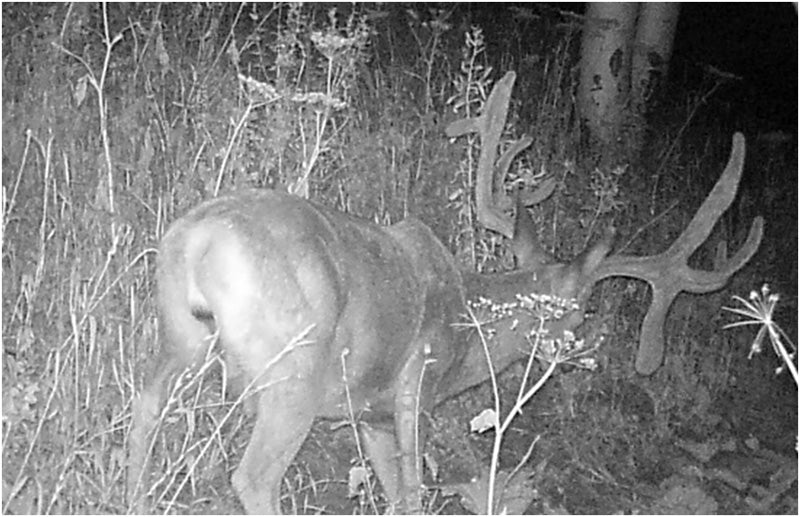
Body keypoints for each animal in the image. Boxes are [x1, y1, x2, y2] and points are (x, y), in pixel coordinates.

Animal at [127, 71, 763, 514]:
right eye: (581, 314)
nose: (589, 352)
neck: (469, 325)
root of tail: (199, 238)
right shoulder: (418, 380)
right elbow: (412, 493)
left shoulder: (371, 415)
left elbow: (393, 491)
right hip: (293, 368)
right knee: (254, 476)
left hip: (180, 337)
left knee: (143, 414)